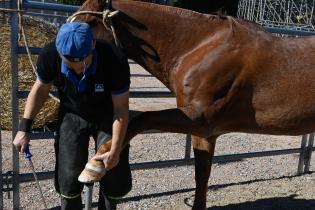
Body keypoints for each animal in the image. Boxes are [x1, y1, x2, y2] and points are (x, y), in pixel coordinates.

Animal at [71, 0, 315, 208]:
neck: (201, 47)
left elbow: (142, 119)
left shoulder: (199, 119)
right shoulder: (205, 132)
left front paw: (95, 165)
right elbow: (202, 175)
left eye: (85, 23)